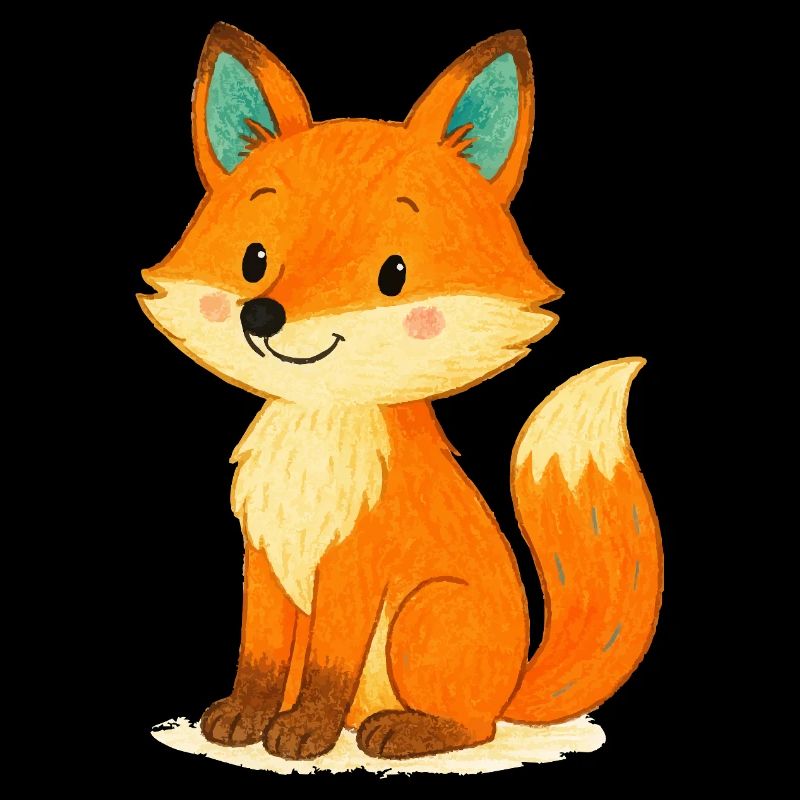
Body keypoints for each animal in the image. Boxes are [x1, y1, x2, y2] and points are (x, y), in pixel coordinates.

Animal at [139, 22, 663, 761]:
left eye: (394, 273)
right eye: (254, 260)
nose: (261, 317)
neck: (320, 433)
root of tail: (511, 686)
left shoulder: (356, 570)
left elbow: (329, 666)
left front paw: (302, 732)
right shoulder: (264, 558)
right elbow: (259, 657)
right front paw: (247, 718)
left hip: (426, 617)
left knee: (471, 726)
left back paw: (400, 731)